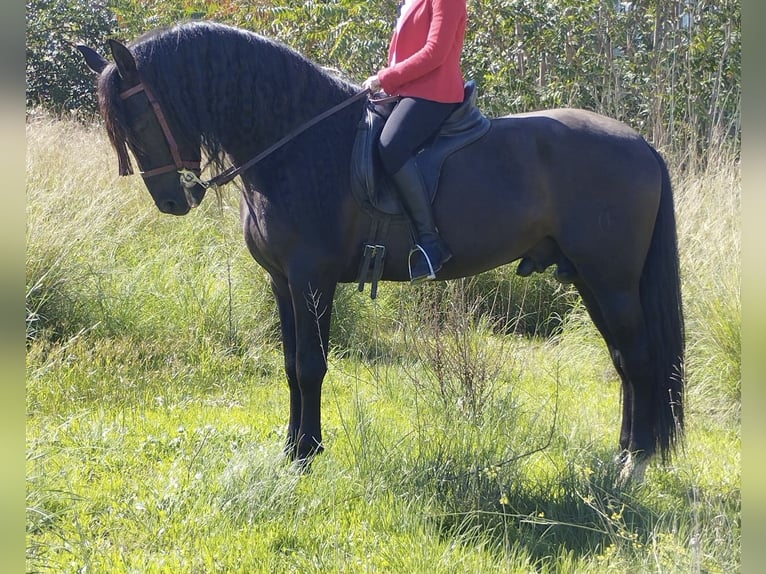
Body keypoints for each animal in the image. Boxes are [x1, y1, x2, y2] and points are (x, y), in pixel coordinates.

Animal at [78, 21, 688, 482]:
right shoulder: (283, 281)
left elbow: (310, 366)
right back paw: (622, 455)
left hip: (611, 280)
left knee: (640, 358)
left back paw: (635, 465)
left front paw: (306, 457)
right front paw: (292, 449)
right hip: (588, 278)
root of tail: (641, 144)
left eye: (136, 116)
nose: (170, 200)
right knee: (624, 362)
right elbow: (290, 365)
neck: (298, 144)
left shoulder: (312, 278)